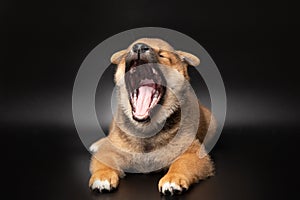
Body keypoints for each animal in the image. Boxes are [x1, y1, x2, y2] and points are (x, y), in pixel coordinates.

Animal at [88, 38, 217, 195]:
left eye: (162, 55)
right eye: (129, 50)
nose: (138, 47)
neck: (147, 129)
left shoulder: (193, 152)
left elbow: (181, 164)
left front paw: (173, 178)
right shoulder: (109, 150)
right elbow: (104, 161)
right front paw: (102, 176)